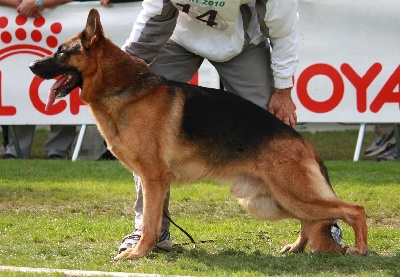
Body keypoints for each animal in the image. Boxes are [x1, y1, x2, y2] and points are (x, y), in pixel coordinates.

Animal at [29, 9, 368, 258]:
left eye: (61, 53)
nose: (31, 65)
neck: (123, 87)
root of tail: (305, 144)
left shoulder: (154, 179)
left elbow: (150, 223)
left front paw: (138, 254)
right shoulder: (152, 181)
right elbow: (150, 219)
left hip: (291, 195)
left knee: (353, 209)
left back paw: (359, 249)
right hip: (270, 202)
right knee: (311, 222)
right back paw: (297, 248)